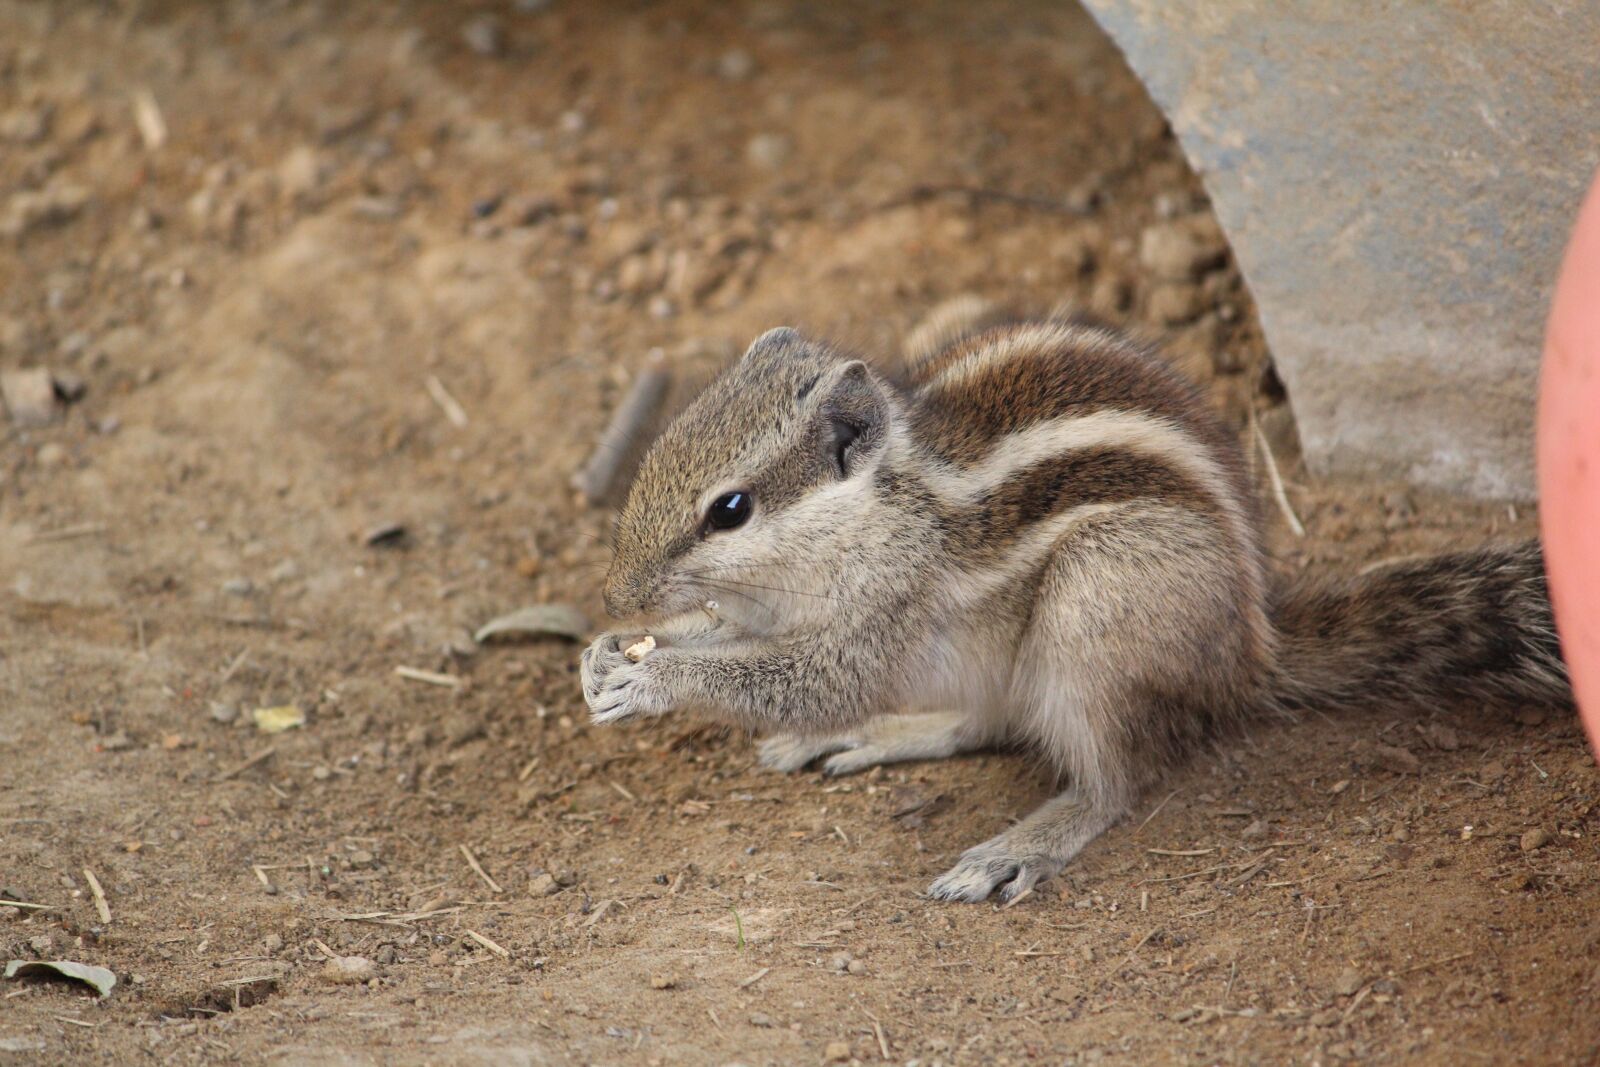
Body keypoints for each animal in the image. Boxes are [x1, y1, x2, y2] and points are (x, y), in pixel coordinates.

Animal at [580, 314, 1571, 903]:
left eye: (731, 509)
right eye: (659, 450)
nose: (616, 592)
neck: (880, 504)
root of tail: (1252, 651)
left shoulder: (885, 608)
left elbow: (813, 678)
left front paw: (655, 679)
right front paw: (608, 651)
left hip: (1096, 608)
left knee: (1113, 778)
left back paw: (1021, 842)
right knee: (982, 722)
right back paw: (886, 732)